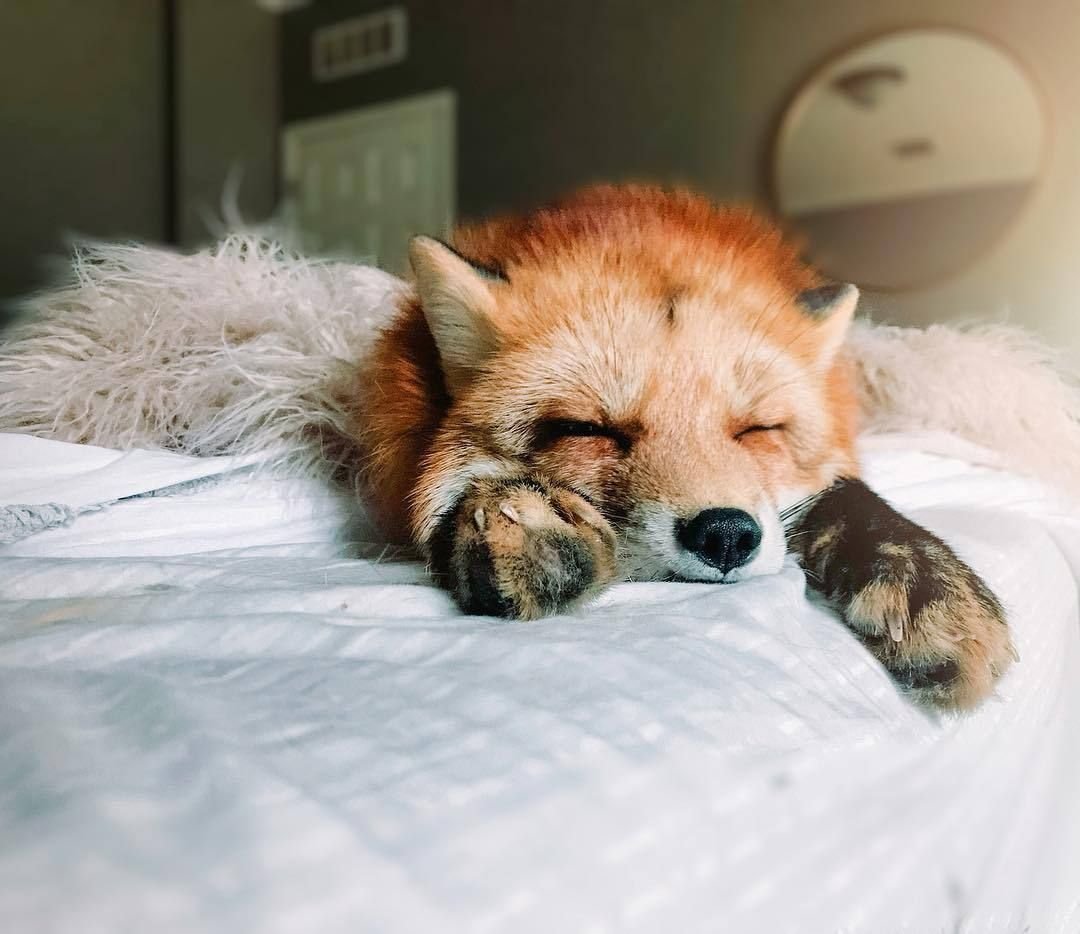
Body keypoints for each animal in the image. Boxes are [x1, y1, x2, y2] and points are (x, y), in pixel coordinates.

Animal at [350, 184, 1015, 711]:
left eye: (756, 430)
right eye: (588, 429)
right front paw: (524, 517)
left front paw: (927, 579)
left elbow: (847, 496)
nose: (725, 535)